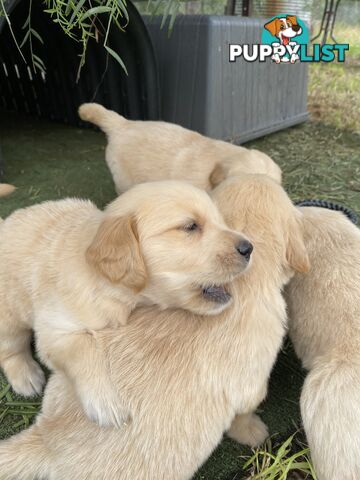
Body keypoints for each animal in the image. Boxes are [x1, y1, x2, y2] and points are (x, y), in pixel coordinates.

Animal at [0, 180, 250, 428]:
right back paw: (25, 376)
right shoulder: (55, 328)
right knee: (10, 347)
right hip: (10, 314)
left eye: (221, 221)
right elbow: (84, 348)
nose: (249, 248)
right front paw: (105, 403)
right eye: (190, 226)